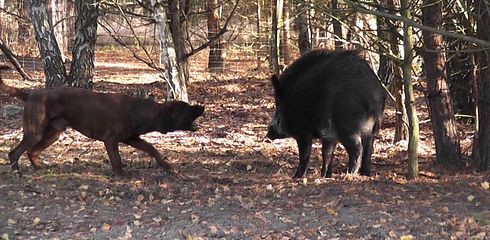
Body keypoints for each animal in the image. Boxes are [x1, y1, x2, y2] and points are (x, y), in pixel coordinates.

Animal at [0, 65, 203, 174]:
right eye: (186, 109)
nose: (202, 107)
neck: (142, 112)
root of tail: (29, 94)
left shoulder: (132, 138)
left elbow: (153, 150)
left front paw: (166, 166)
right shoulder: (110, 140)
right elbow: (117, 161)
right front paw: (121, 175)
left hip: (52, 134)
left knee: (31, 152)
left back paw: (39, 169)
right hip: (35, 132)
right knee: (14, 153)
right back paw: (17, 172)